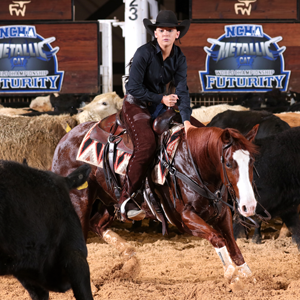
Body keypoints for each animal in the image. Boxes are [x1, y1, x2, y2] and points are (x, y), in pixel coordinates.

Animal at [51, 120, 258, 284]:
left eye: (251, 162)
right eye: (229, 163)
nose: (249, 206)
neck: (191, 163)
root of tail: (65, 138)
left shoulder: (222, 214)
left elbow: (233, 245)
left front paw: (249, 276)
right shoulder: (185, 219)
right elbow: (217, 238)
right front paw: (233, 276)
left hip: (110, 201)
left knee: (97, 224)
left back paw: (130, 255)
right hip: (81, 199)